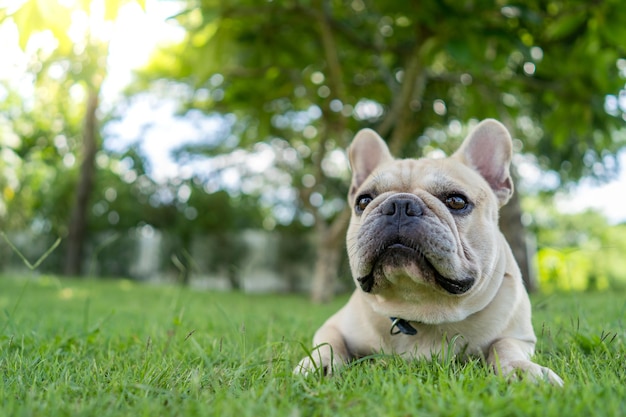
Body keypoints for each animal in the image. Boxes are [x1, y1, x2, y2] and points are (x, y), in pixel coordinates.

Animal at [294, 118, 564, 386]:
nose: (400, 204)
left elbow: (505, 346)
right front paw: (316, 365)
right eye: (363, 201)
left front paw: (522, 370)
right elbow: (328, 343)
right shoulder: (333, 325)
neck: (420, 308)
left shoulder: (520, 337)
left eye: (456, 201)